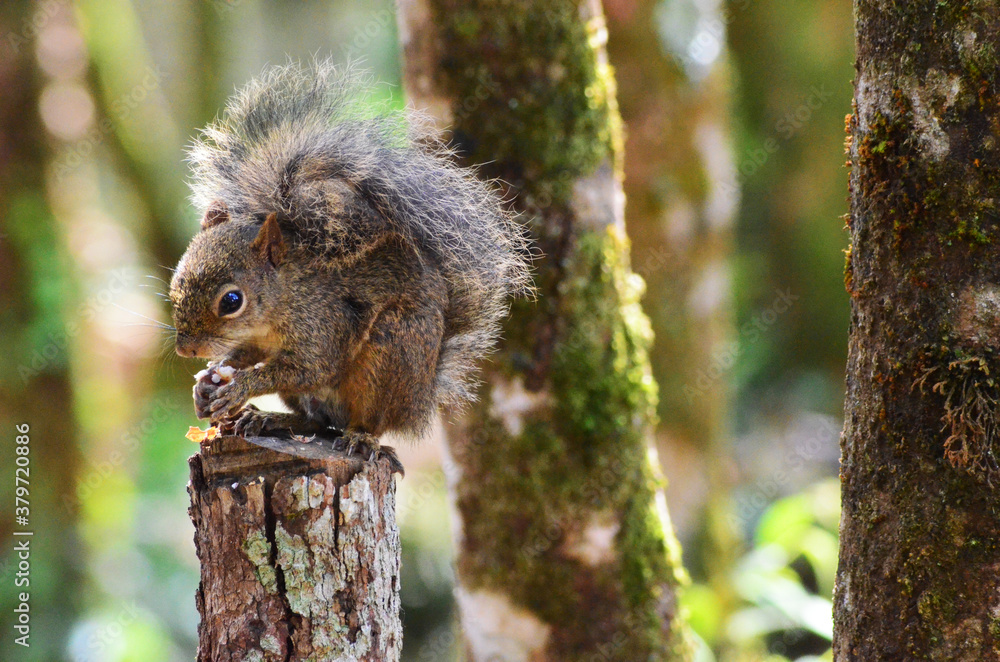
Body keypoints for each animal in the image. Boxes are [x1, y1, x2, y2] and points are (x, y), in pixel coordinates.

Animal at [169, 61, 532, 468]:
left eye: (232, 301)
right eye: (174, 285)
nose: (187, 351)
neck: (283, 302)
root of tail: (422, 398)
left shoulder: (324, 324)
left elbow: (310, 367)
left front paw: (240, 387)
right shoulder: (258, 341)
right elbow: (247, 356)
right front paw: (208, 380)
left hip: (390, 353)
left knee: (369, 421)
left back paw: (361, 438)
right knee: (317, 422)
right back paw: (272, 419)